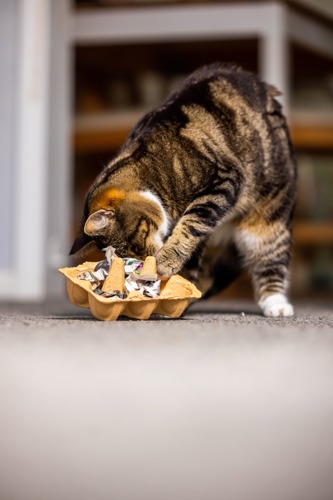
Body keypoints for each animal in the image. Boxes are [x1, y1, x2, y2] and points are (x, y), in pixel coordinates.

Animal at [70, 62, 296, 316]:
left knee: (270, 261)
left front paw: (165, 265)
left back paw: (276, 304)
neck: (154, 171)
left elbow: (191, 224)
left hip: (268, 219)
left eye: (134, 242)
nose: (146, 259)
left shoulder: (222, 180)